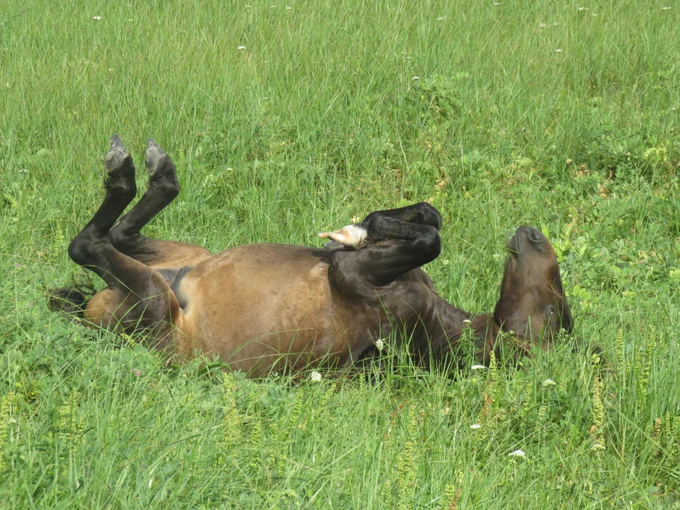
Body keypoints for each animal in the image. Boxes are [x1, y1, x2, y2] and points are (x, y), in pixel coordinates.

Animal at [49, 135, 572, 376]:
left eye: (554, 312)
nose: (533, 234)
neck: (437, 326)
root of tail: (91, 314)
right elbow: (431, 217)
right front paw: (360, 227)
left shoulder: (351, 278)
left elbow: (429, 239)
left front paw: (363, 230)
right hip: (184, 253)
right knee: (121, 231)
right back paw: (158, 173)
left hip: (154, 300)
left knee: (89, 243)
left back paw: (126, 171)